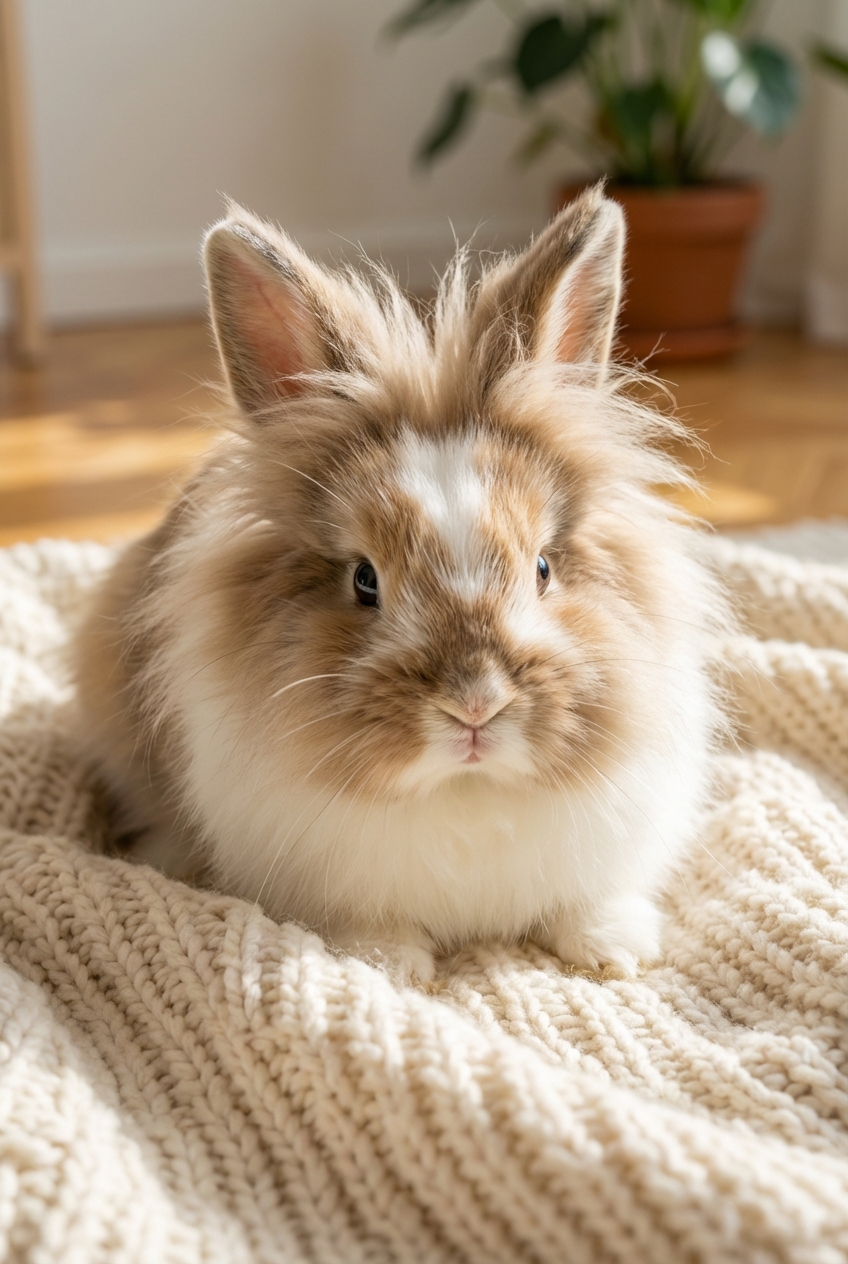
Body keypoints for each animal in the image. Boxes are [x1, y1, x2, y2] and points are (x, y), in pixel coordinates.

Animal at [73, 185, 725, 985]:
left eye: (543, 568)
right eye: (364, 580)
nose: (475, 706)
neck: (465, 790)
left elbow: (587, 902)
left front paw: (613, 951)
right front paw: (388, 965)